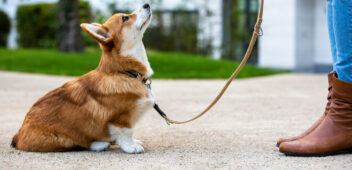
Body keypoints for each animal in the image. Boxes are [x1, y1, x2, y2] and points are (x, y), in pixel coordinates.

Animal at [11, 3, 154, 153]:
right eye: (125, 18)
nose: (146, 4)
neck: (124, 72)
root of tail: (18, 136)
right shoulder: (120, 118)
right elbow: (126, 132)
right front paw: (131, 146)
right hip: (63, 139)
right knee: (79, 143)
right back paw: (100, 144)